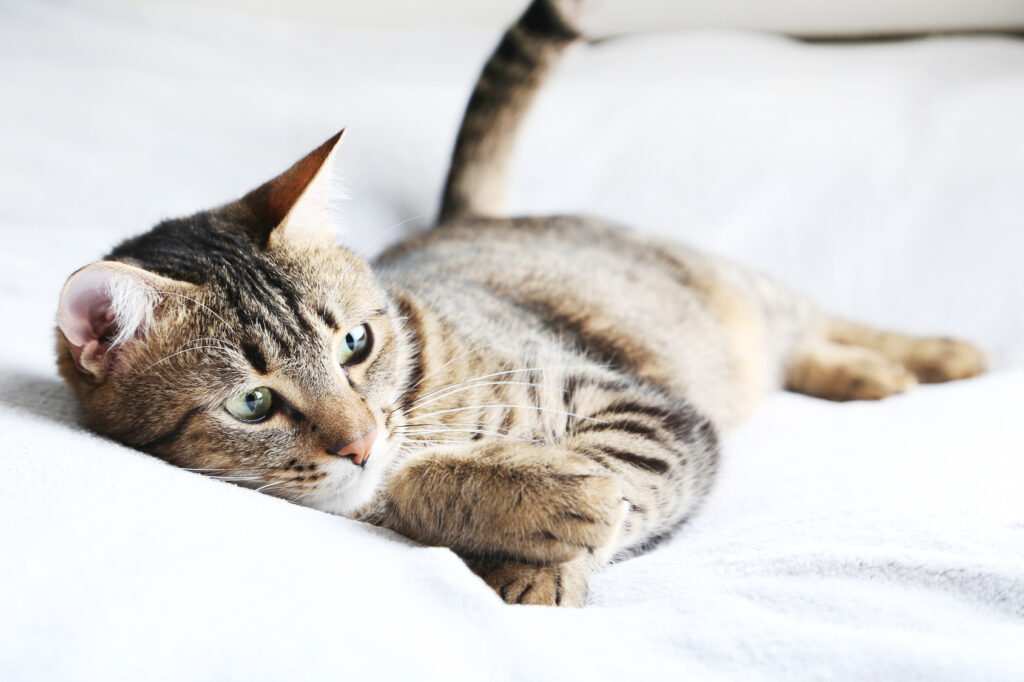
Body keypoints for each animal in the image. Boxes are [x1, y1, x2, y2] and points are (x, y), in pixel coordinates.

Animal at [54, 0, 983, 606]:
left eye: (356, 344)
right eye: (252, 403)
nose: (359, 441)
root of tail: (473, 216)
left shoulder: (641, 407)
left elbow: (619, 479)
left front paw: (547, 538)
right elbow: (414, 491)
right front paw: (522, 510)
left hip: (735, 291)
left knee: (816, 321)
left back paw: (926, 357)